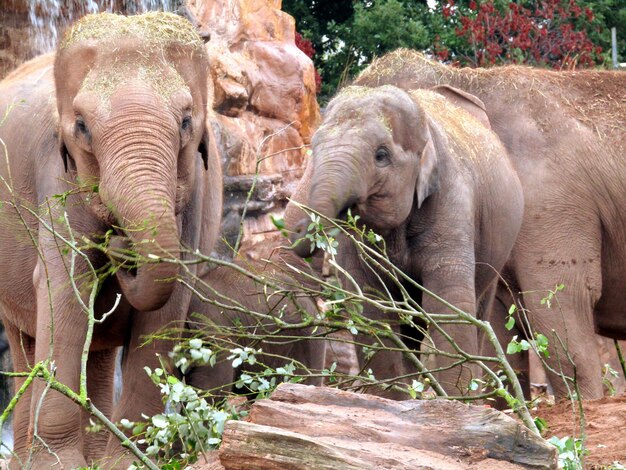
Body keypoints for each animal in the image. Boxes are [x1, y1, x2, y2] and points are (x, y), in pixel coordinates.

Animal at [0, 11, 222, 470]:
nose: (120, 249)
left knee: (99, 349)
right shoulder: (57, 174)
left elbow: (166, 309)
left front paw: (128, 461)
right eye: (81, 127)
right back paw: (29, 459)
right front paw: (56, 464)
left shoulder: (194, 195)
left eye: (186, 121)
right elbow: (65, 288)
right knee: (23, 341)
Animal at [286, 83, 520, 396]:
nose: (299, 229)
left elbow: (451, 305)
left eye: (381, 155)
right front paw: (392, 400)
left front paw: (459, 400)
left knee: (479, 309)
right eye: (314, 147)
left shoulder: (453, 200)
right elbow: (372, 307)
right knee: (410, 327)